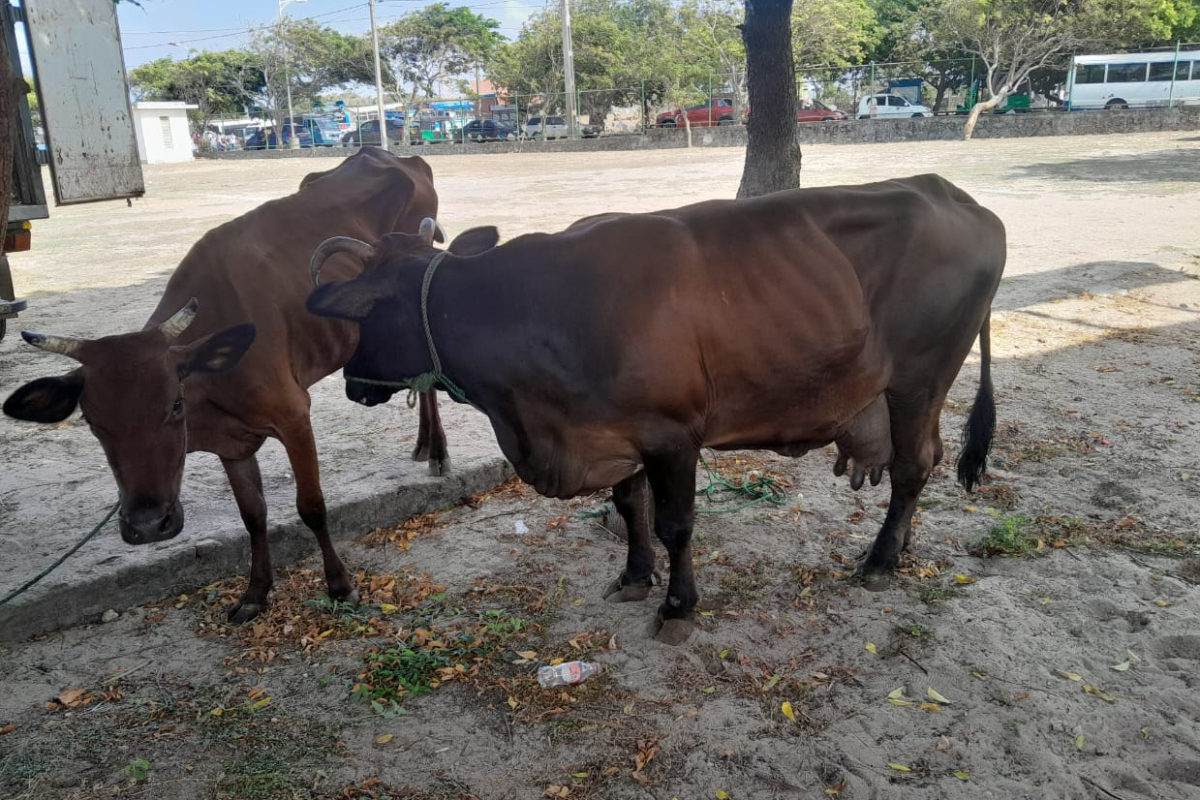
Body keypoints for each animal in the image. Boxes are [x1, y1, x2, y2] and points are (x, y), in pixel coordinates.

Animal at [3, 148, 448, 622]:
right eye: (92, 422)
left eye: (174, 406)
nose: (147, 525)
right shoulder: (231, 442)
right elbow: (252, 514)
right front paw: (255, 593)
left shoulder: (294, 415)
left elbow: (311, 506)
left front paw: (340, 586)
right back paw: (424, 443)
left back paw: (437, 451)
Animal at [305, 174, 1005, 644]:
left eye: (366, 316)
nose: (351, 385)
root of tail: (957, 196)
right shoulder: (619, 432)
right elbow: (627, 506)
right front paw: (635, 576)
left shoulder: (672, 437)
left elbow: (675, 524)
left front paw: (677, 606)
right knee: (925, 460)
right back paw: (902, 545)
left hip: (920, 377)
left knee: (913, 467)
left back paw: (880, 560)